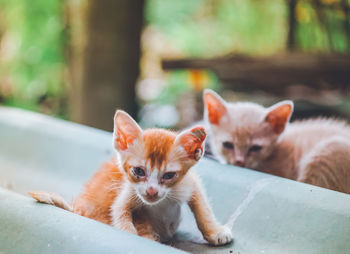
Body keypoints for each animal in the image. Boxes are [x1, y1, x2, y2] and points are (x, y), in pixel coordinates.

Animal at [30, 110, 232, 245]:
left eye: (169, 175)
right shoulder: (127, 194)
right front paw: (136, 238)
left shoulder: (189, 183)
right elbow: (122, 216)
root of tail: (77, 208)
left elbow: (202, 207)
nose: (152, 191)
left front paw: (214, 231)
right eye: (139, 171)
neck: (161, 203)